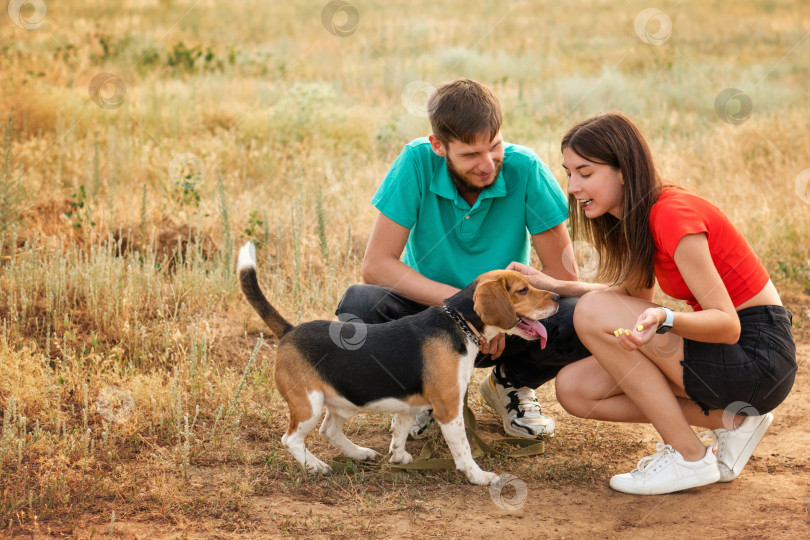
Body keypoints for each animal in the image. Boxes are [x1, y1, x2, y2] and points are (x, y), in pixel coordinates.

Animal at [237, 243, 560, 488]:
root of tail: (290, 330)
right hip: (309, 404)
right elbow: (463, 448)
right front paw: (478, 476)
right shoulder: (449, 407)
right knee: (291, 439)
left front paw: (398, 457)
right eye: (522, 290)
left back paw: (360, 453)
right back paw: (315, 465)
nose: (558, 296)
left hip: (342, 402)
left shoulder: (409, 405)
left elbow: (401, 431)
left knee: (328, 431)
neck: (459, 324)